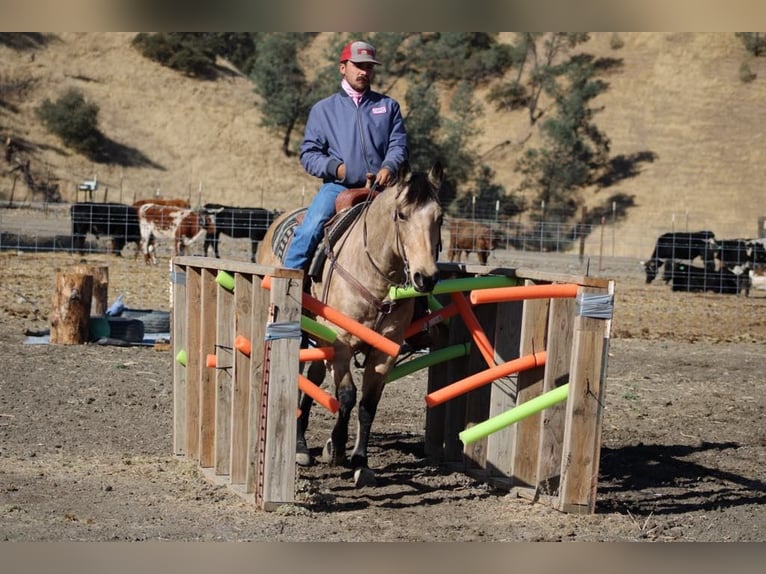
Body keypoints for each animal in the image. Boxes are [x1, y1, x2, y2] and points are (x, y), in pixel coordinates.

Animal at [256, 161, 444, 487]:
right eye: (401, 214)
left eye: (440, 217)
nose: (426, 277)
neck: (374, 273)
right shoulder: (340, 341)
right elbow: (346, 395)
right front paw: (337, 447)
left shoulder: (385, 351)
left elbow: (367, 404)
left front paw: (360, 461)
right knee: (304, 375)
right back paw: (301, 447)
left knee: (315, 376)